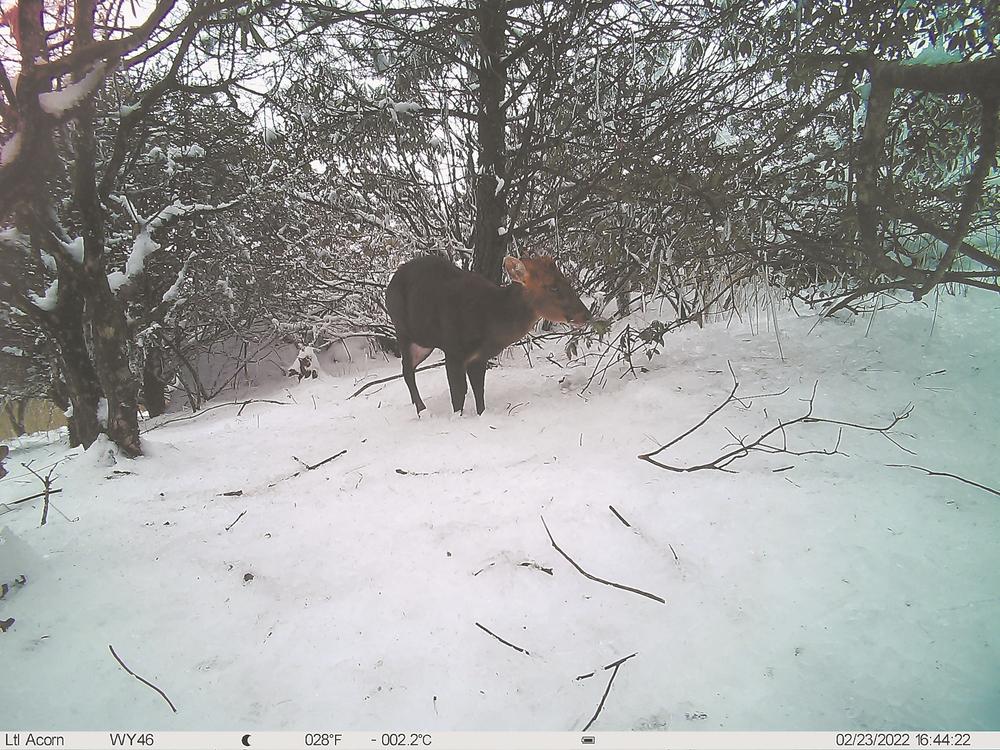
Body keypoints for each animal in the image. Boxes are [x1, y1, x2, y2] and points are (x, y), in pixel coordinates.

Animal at [384, 256, 588, 414]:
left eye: (566, 281)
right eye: (553, 287)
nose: (586, 314)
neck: (490, 320)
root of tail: (390, 284)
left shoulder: (479, 357)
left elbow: (478, 390)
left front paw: (481, 414)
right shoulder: (453, 351)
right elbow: (458, 393)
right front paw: (457, 418)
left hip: (424, 342)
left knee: (410, 368)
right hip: (402, 328)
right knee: (407, 370)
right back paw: (422, 410)